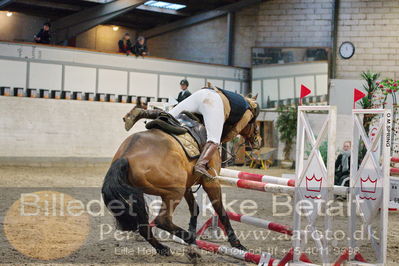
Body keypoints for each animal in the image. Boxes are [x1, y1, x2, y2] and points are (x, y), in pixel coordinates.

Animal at [101, 104, 260, 260]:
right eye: (254, 121)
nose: (257, 141)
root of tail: (125, 156)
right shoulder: (210, 182)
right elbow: (221, 211)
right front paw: (237, 244)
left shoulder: (188, 185)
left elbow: (195, 208)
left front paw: (193, 231)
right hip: (174, 191)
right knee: (162, 220)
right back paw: (190, 242)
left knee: (145, 227)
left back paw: (165, 248)